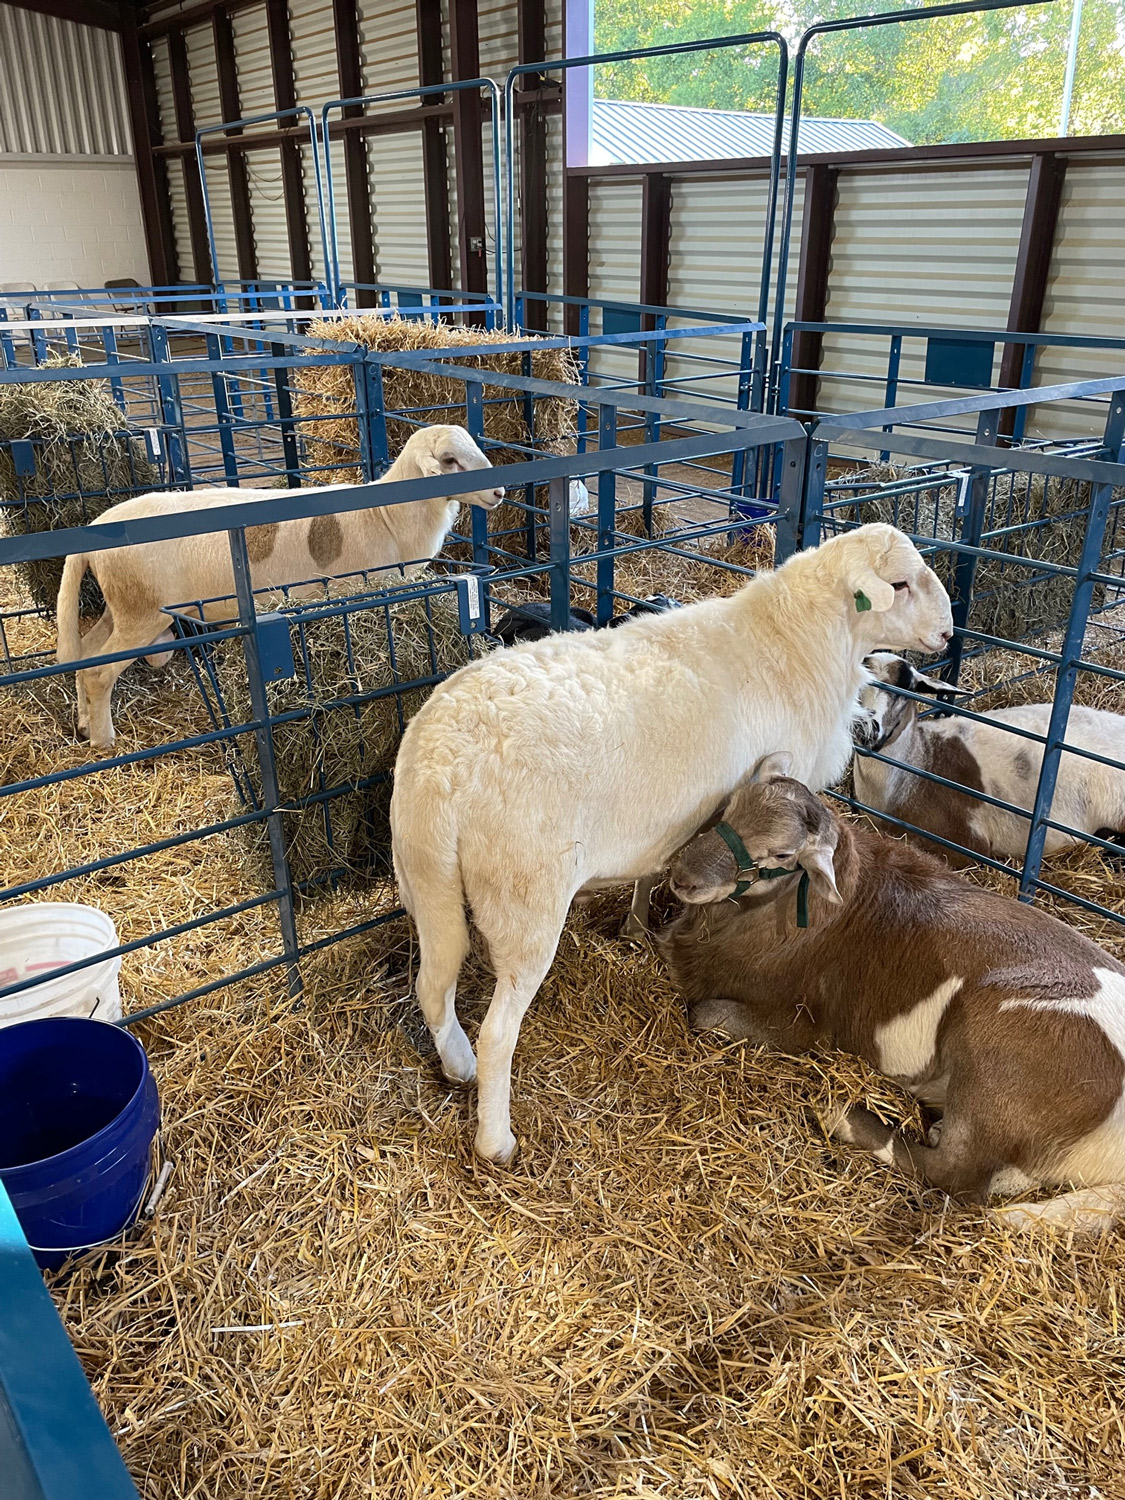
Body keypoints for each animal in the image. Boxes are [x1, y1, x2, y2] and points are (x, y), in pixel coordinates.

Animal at [56, 423, 507, 750]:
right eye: (449, 460)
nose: (500, 491)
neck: (387, 515)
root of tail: (94, 531)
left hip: (122, 606)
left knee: (86, 654)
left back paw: (83, 722)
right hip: (142, 611)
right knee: (98, 672)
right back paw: (104, 740)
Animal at [393, 522, 954, 1164]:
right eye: (900, 585)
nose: (948, 633)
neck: (797, 641)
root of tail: (441, 766)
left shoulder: (666, 822)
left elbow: (649, 872)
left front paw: (636, 928)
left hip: (426, 880)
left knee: (433, 987)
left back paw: (456, 1066)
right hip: (523, 896)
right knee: (498, 1033)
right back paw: (497, 1140)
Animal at [660, 756, 1125, 1236]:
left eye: (783, 855)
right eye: (731, 807)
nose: (683, 878)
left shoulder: (806, 1027)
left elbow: (703, 1012)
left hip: (999, 1061)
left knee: (956, 1176)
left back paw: (844, 1117)